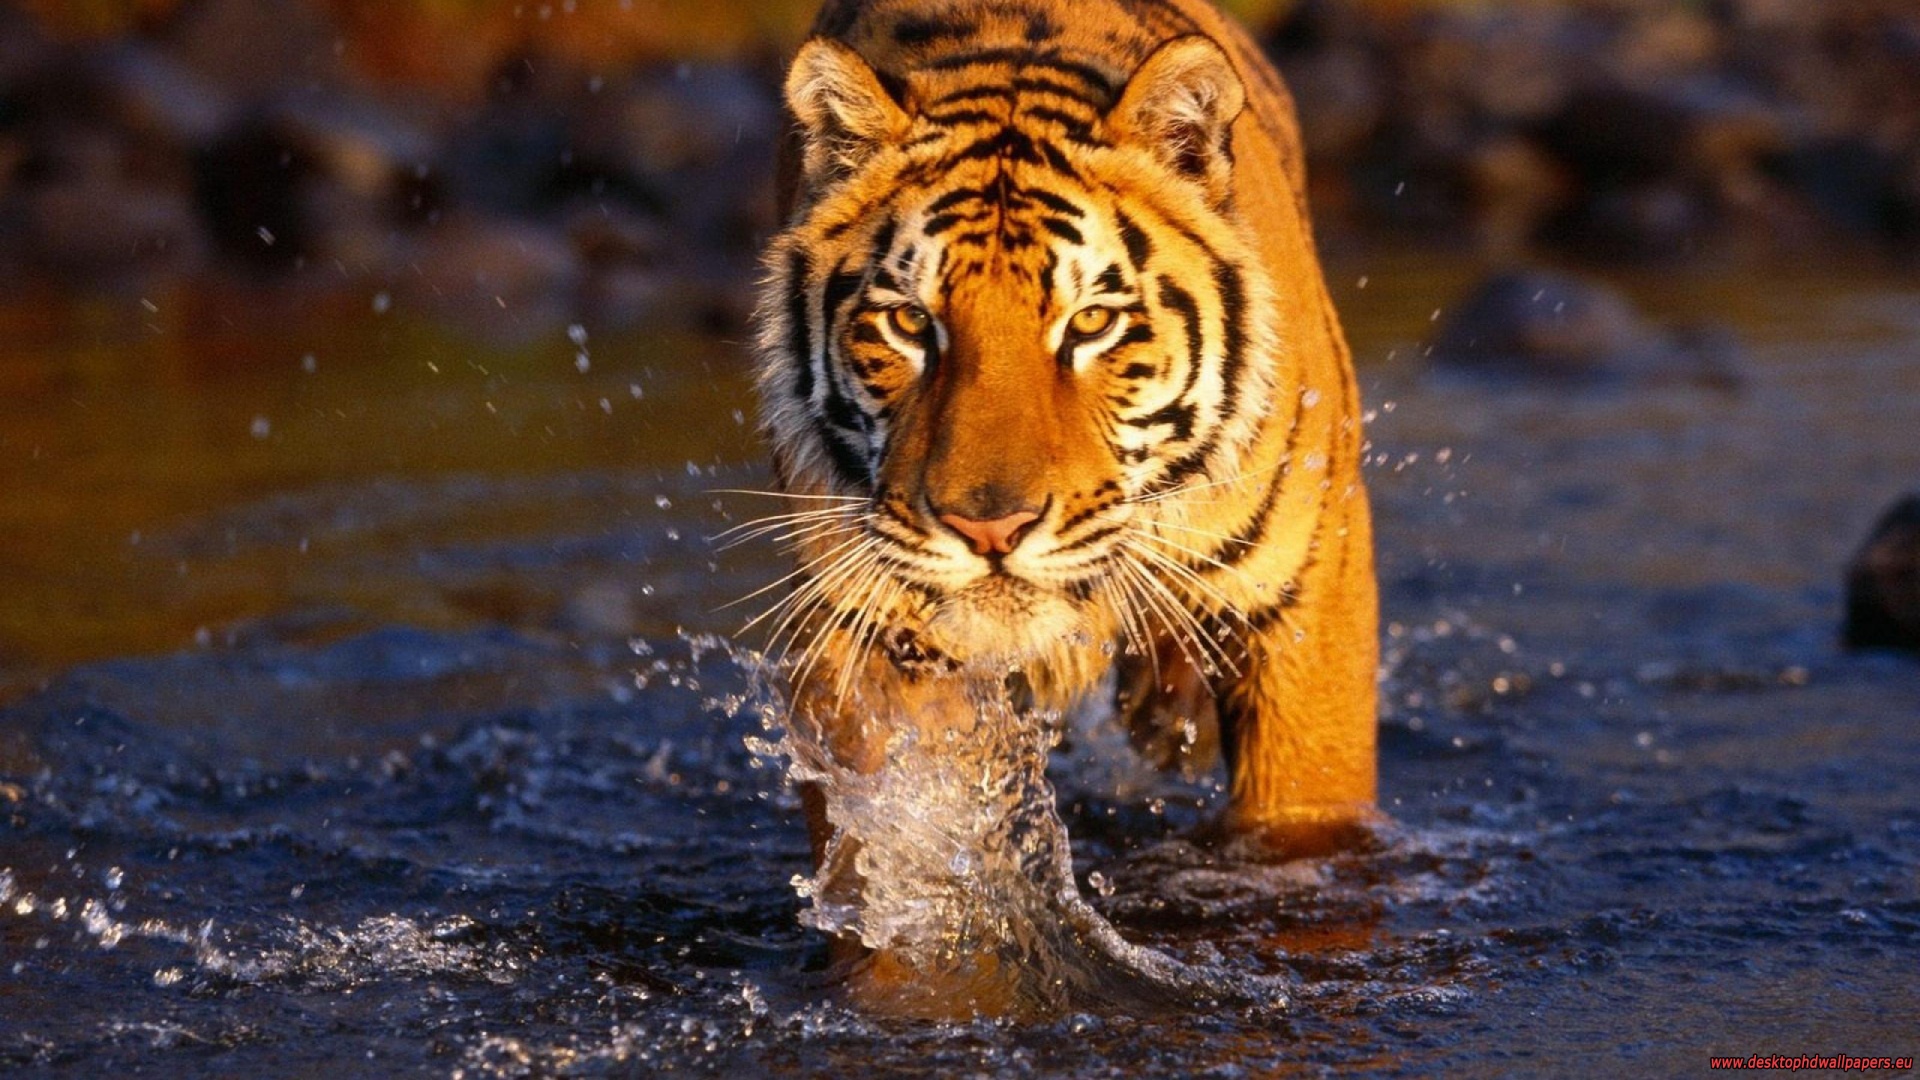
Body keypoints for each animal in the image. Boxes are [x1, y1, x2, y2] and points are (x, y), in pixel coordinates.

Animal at [748, 0, 1379, 1004]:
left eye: (1091, 324)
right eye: (909, 323)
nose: (988, 527)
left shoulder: (1308, 593)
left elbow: (1302, 823)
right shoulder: (867, 631)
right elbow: (895, 849)